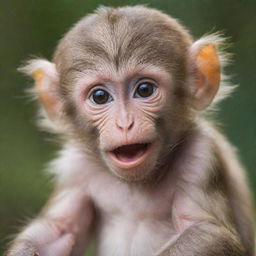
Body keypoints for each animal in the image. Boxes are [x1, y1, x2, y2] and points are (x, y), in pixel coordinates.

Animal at [5, 4, 254, 256]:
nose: (124, 123)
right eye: (100, 96)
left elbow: (209, 231)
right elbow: (58, 232)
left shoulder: (201, 157)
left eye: (144, 90)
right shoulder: (72, 168)